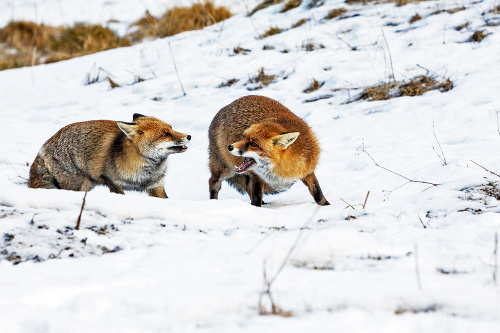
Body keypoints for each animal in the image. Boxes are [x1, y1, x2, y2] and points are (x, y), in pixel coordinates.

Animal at [28, 114, 191, 197]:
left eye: (171, 128)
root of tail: (44, 147)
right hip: (78, 185)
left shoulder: (156, 186)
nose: (189, 136)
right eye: (165, 134)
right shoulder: (111, 181)